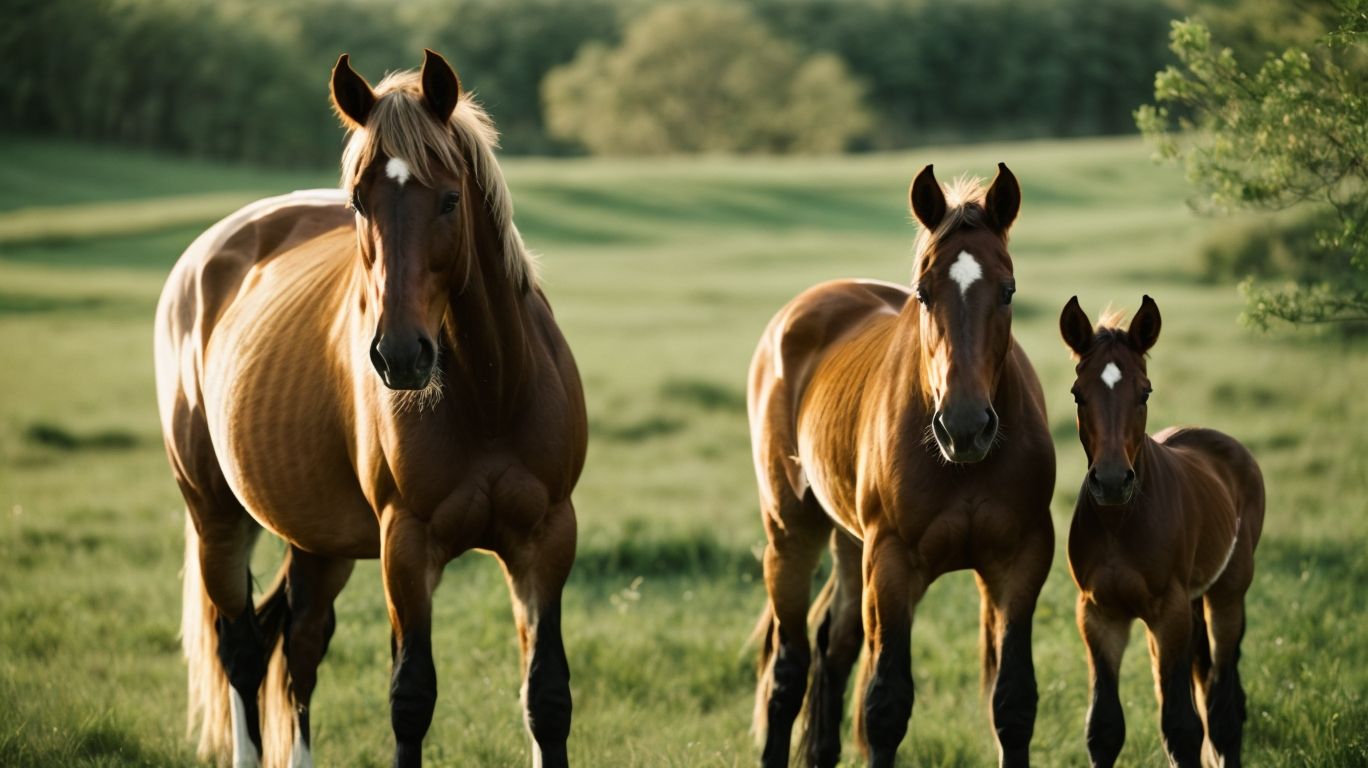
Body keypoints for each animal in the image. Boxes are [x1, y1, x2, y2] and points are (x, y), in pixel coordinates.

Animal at [155, 50, 586, 768]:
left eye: (449, 198)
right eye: (359, 201)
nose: (400, 355)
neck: (493, 394)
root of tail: (204, 258)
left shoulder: (547, 536)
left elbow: (547, 697)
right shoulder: (405, 545)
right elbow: (411, 698)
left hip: (317, 539)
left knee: (297, 644)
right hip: (215, 513)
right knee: (240, 649)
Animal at [747, 164, 1056, 768]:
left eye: (1007, 291)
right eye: (923, 292)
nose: (964, 426)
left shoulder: (1021, 562)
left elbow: (1014, 702)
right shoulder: (891, 563)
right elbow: (886, 704)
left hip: (849, 542)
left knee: (833, 645)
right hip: (793, 532)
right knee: (789, 668)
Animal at [1059, 296, 1264, 768]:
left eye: (1145, 392)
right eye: (1078, 394)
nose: (1112, 481)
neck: (1121, 524)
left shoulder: (1168, 613)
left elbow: (1182, 728)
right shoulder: (1099, 615)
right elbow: (1104, 728)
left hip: (1225, 596)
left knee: (1224, 703)